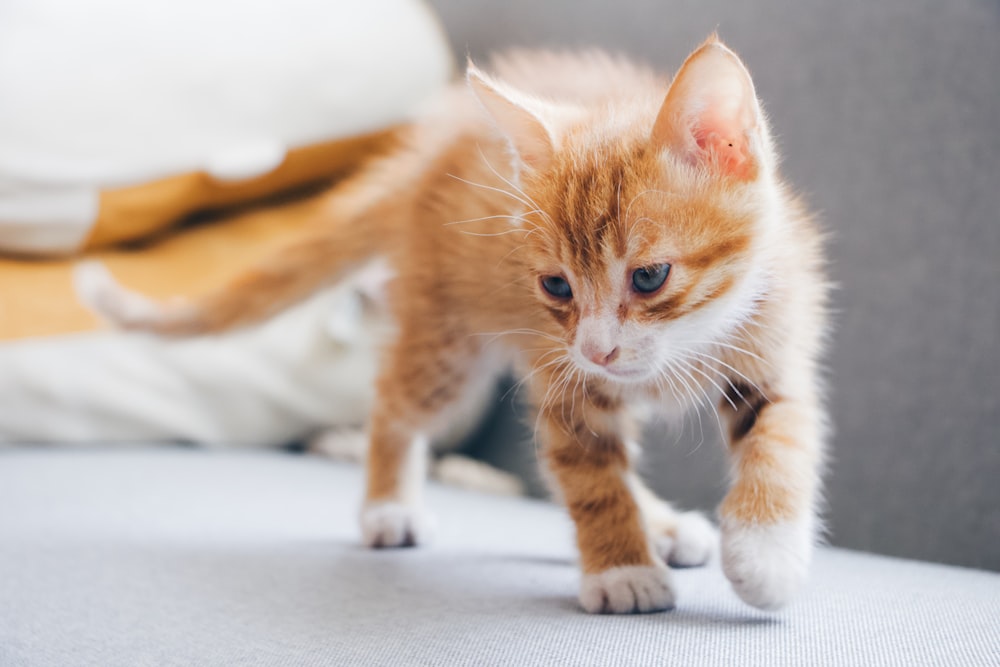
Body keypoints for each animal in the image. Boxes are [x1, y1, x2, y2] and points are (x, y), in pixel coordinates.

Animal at [80, 35, 828, 612]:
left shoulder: (774, 342)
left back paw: (665, 524)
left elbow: (783, 440)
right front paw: (622, 568)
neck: (684, 346)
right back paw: (389, 506)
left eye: (649, 277)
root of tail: (430, 149)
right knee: (393, 403)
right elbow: (589, 474)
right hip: (448, 343)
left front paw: (765, 555)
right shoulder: (562, 373)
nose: (599, 351)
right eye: (556, 285)